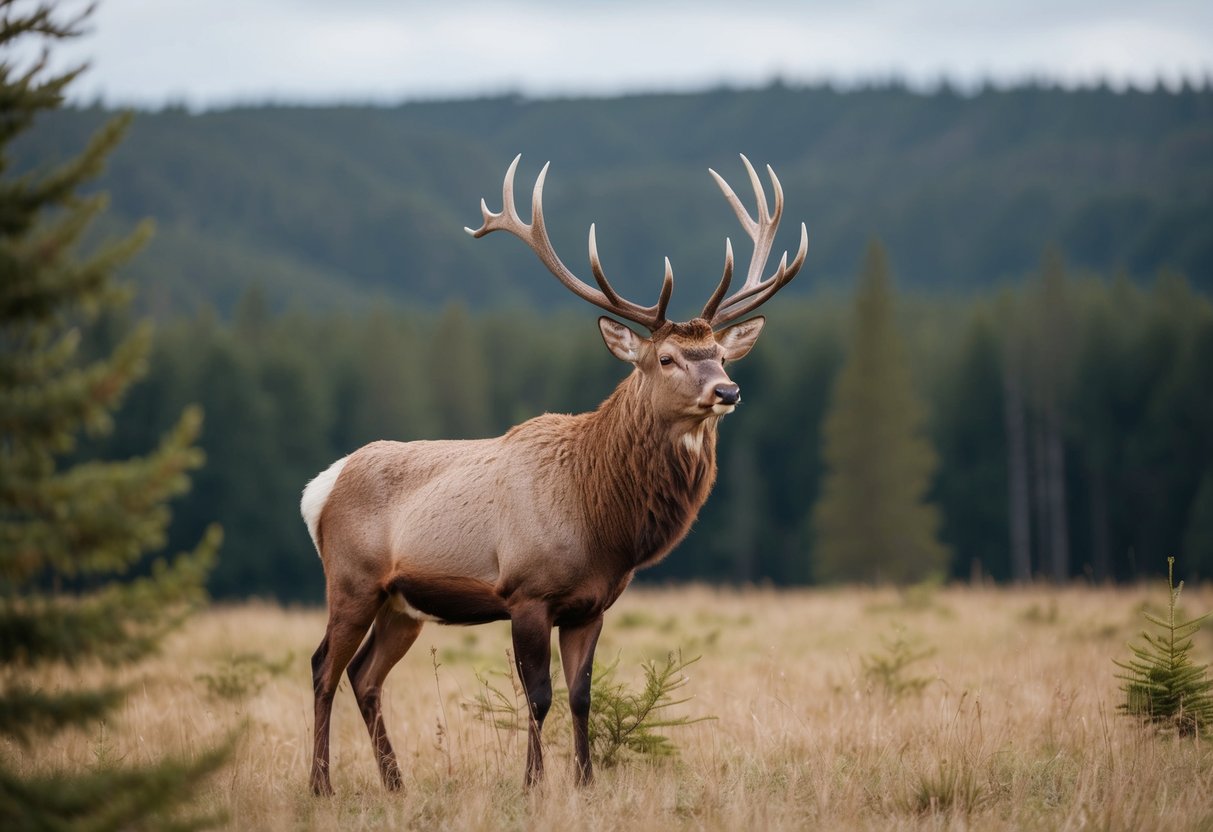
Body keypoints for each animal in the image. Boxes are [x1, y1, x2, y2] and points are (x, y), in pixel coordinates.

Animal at [302, 154, 808, 795]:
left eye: (720, 353)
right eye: (666, 358)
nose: (728, 391)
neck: (601, 522)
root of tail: (320, 488)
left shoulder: (591, 606)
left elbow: (581, 696)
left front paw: (586, 782)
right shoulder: (527, 591)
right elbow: (538, 696)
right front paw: (532, 784)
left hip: (402, 604)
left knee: (365, 675)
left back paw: (396, 783)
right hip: (351, 579)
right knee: (323, 665)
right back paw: (321, 785)